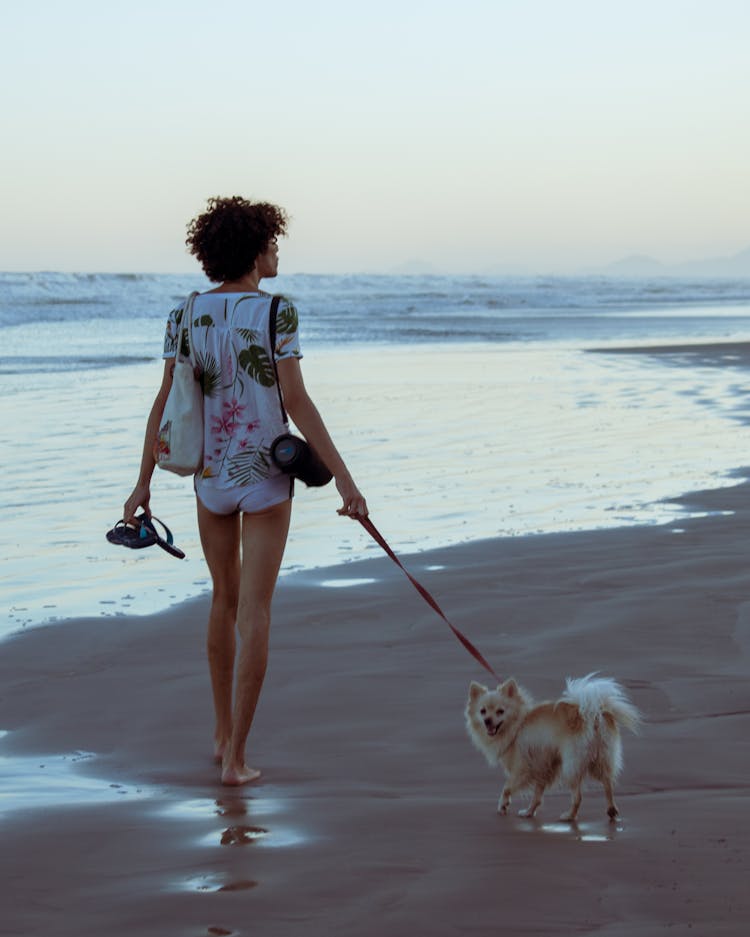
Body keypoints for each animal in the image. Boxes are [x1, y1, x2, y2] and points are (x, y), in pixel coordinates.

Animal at [468, 672, 644, 820]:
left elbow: (507, 787)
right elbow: (537, 795)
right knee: (608, 785)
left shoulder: (522, 768)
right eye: (482, 711)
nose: (487, 721)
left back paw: (569, 816)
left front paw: (503, 805)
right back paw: (611, 810)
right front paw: (529, 812)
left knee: (578, 796)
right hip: (602, 758)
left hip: (571, 765)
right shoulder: (542, 767)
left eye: (500, 711)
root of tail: (593, 713)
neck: (518, 723)